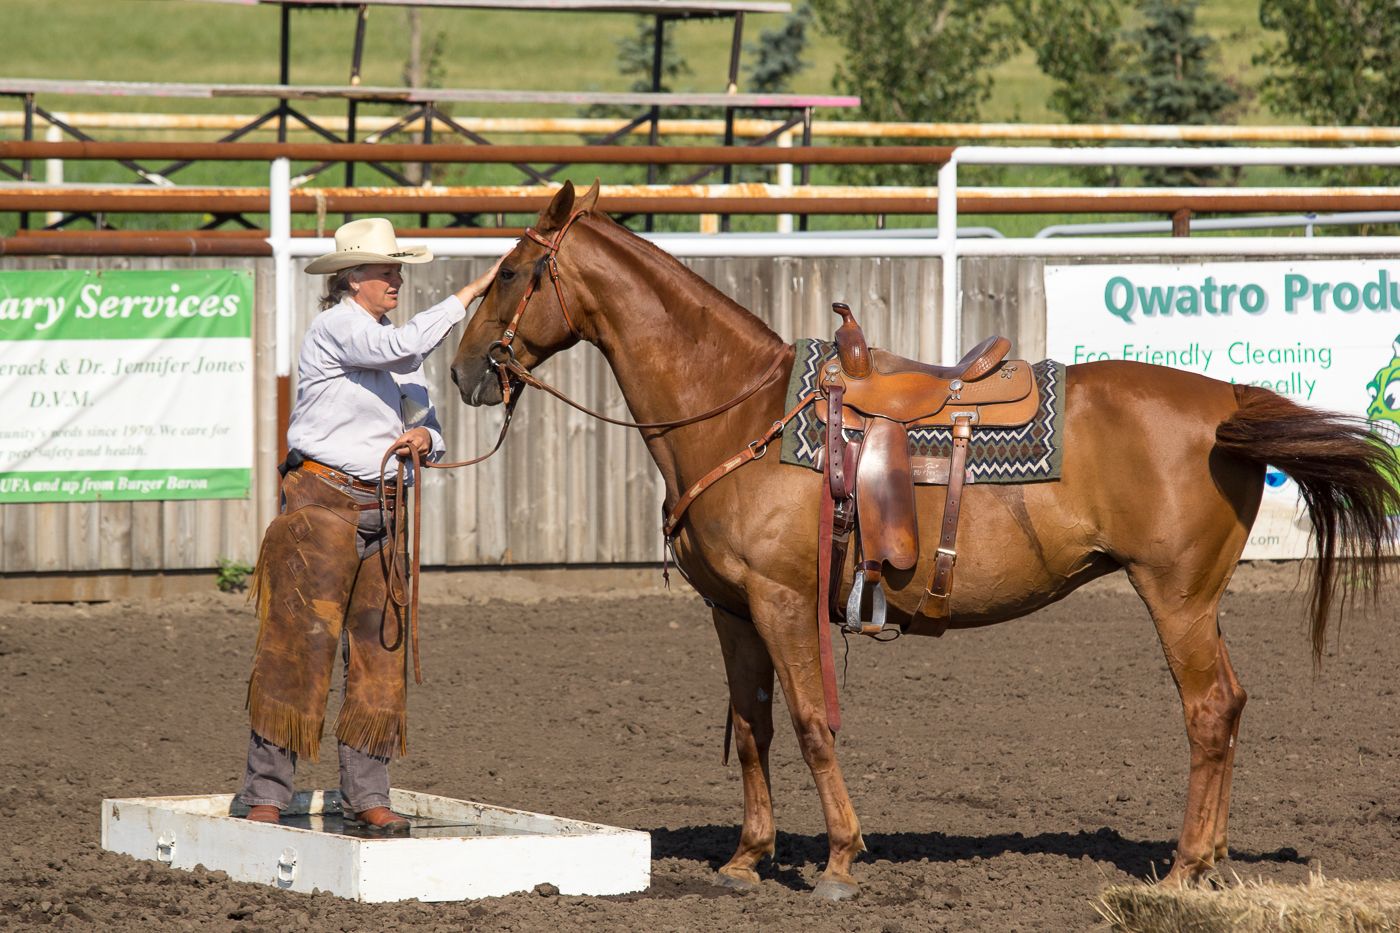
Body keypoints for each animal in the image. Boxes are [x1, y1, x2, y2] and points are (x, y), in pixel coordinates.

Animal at [448, 180, 1398, 900]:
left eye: (514, 271)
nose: (461, 370)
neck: (741, 412)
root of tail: (1226, 401)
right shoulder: (732, 609)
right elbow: (754, 727)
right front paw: (749, 857)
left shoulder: (783, 599)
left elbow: (810, 721)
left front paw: (838, 858)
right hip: (1200, 598)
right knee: (1230, 705)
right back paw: (1214, 862)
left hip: (1173, 595)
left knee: (1207, 709)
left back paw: (1184, 866)